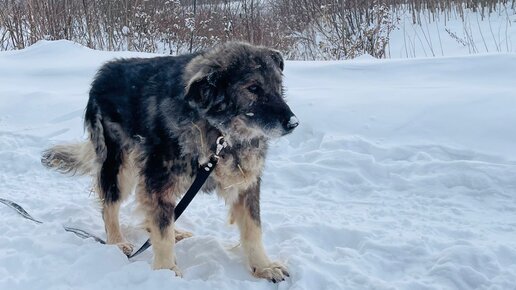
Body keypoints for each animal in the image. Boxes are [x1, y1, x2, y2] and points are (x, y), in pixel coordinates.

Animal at [42, 40, 300, 280]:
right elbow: (162, 231)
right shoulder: (159, 179)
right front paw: (165, 271)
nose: (293, 123)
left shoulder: (246, 183)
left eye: (278, 87)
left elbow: (253, 229)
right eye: (253, 88)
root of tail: (103, 74)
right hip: (119, 168)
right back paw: (117, 242)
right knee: (111, 206)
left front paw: (263, 266)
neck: (219, 132)